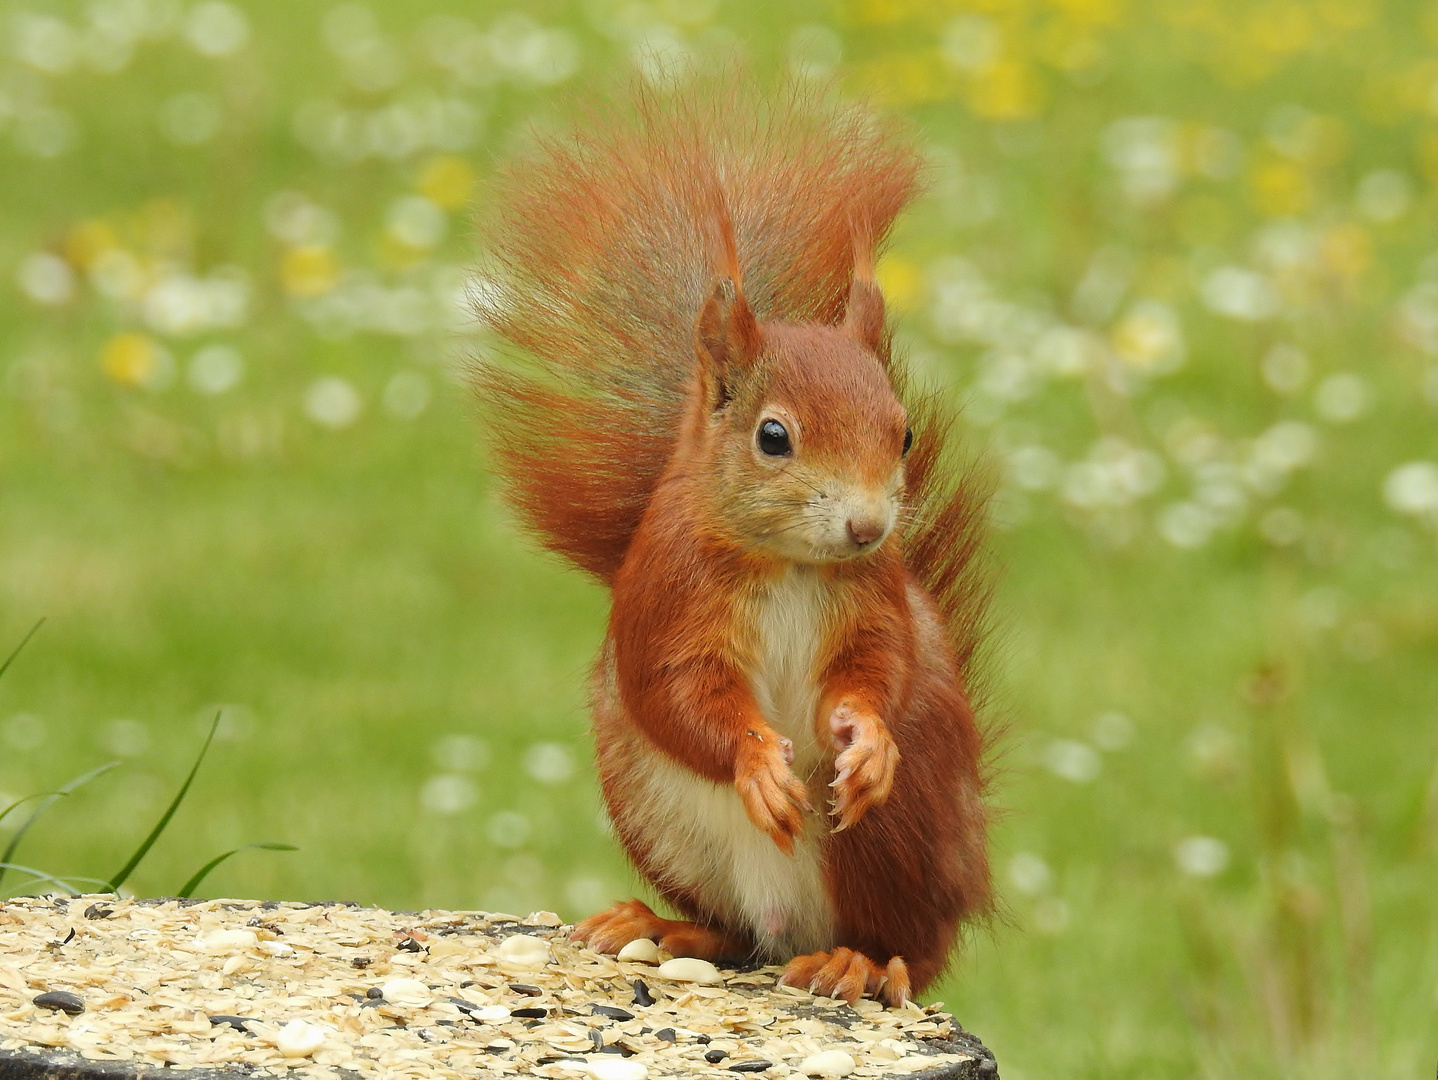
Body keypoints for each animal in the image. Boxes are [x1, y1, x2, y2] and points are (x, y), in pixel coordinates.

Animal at [471, 80, 989, 1012]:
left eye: (902, 435)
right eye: (773, 436)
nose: (868, 528)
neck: (790, 566)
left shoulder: (875, 600)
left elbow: (880, 669)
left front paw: (867, 735)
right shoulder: (668, 597)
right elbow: (677, 695)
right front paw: (754, 759)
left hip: (896, 834)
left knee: (908, 949)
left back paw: (861, 962)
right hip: (661, 819)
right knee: (739, 934)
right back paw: (665, 927)